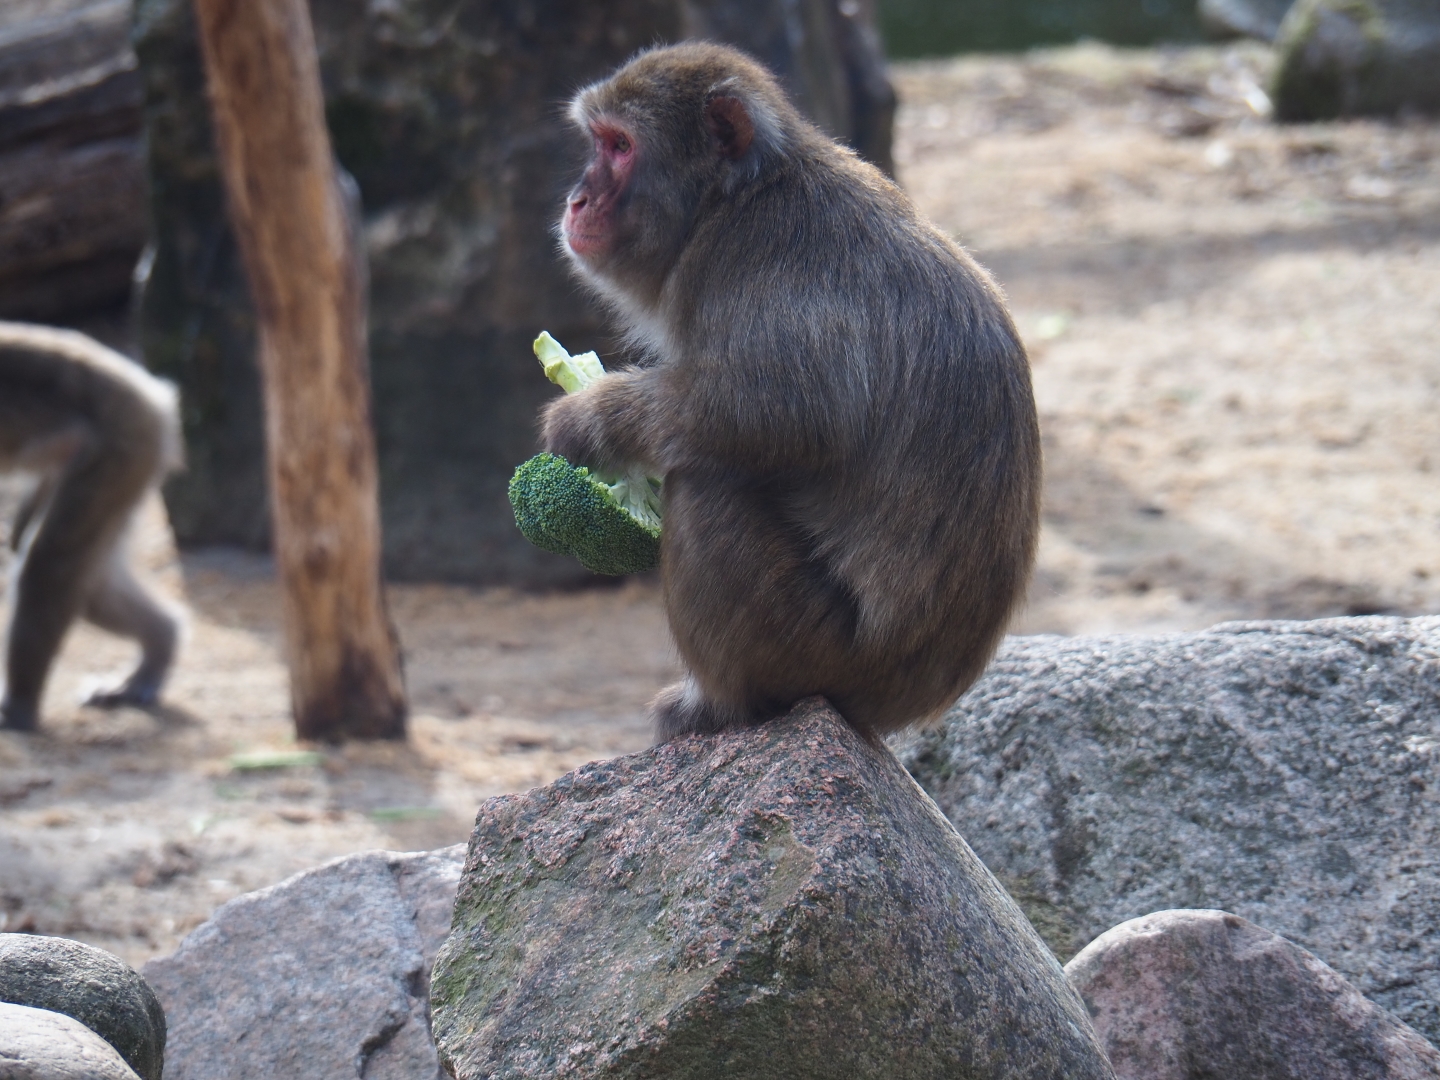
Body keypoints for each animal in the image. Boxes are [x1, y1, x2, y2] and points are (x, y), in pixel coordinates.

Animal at [0, 321, 183, 732]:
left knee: (49, 564)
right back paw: (159, 645)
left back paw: (20, 709)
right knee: (90, 582)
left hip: (122, 444)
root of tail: (153, 394)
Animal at [543, 42, 1041, 744]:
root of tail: (899, 706)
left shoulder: (752, 257)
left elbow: (783, 416)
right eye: (597, 140)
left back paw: (723, 704)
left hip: (815, 647)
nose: (577, 199)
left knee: (706, 482)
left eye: (619, 145)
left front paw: (590, 419)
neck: (732, 199)